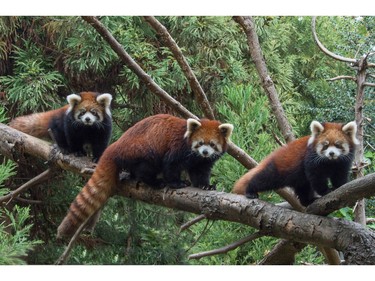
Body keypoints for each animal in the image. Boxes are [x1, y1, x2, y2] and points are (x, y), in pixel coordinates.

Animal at [57, 113, 234, 236]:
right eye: (200, 143)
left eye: (212, 144)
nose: (205, 152)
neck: (195, 155)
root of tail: (115, 146)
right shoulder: (177, 148)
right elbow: (171, 165)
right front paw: (177, 183)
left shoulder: (201, 162)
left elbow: (200, 172)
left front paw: (205, 185)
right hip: (142, 150)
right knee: (146, 168)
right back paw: (155, 182)